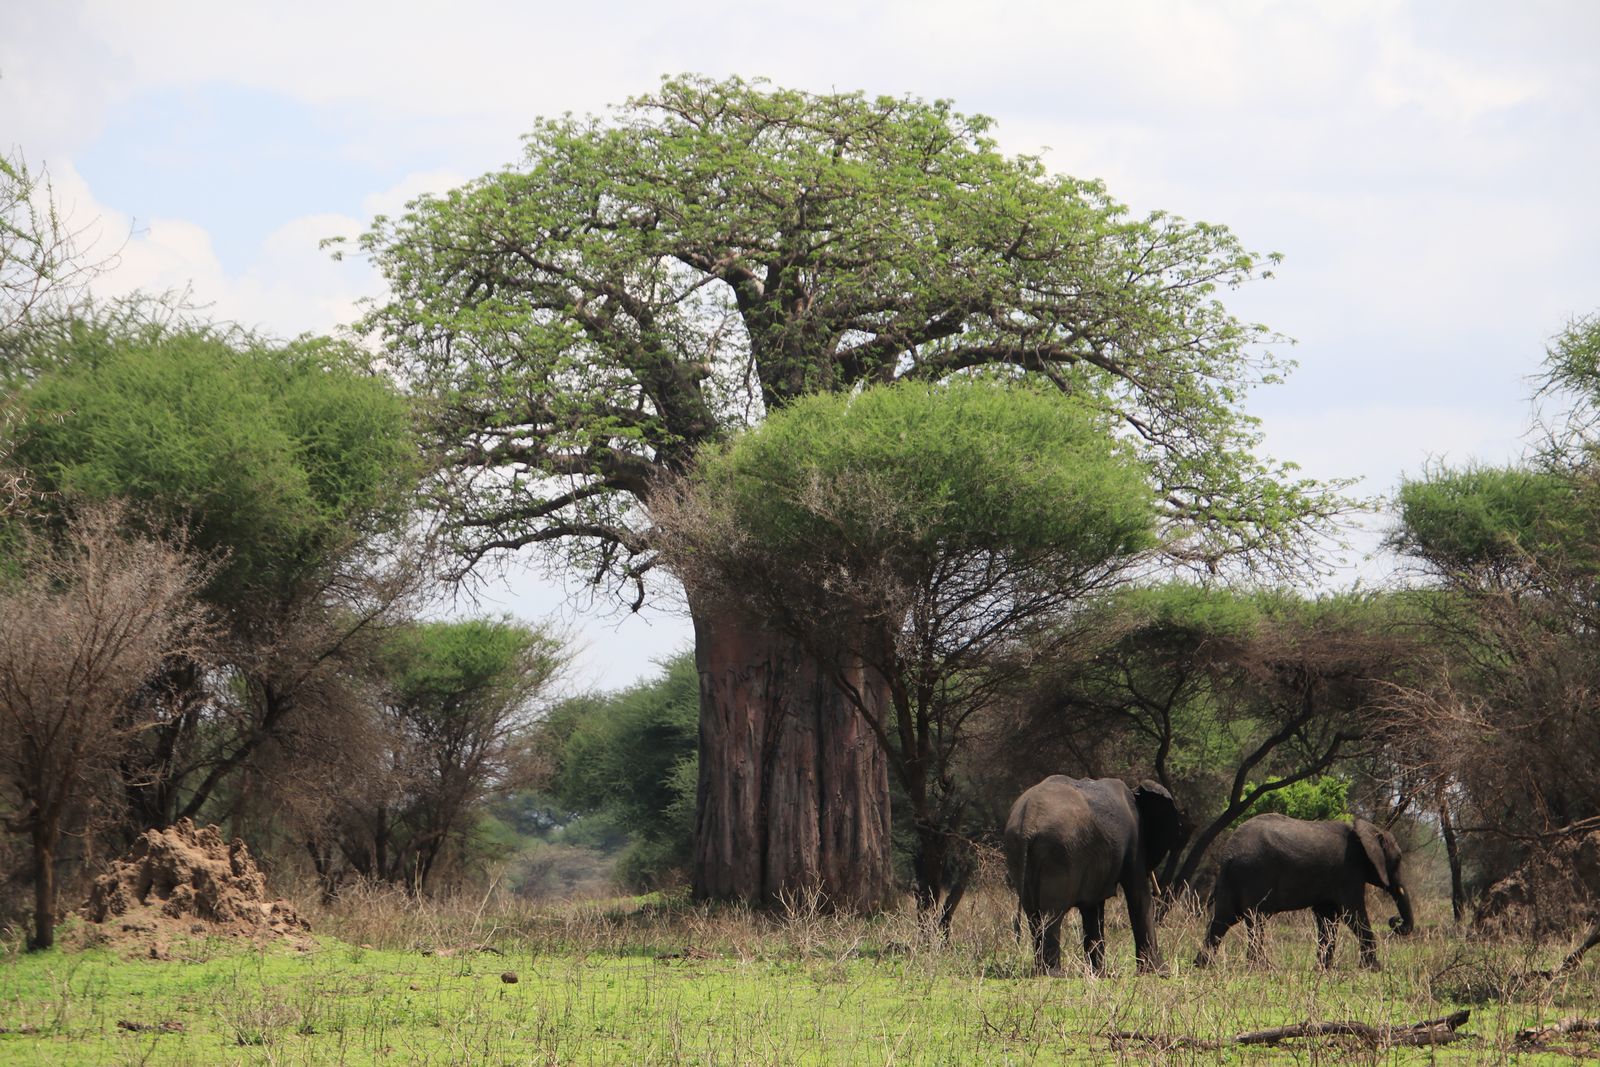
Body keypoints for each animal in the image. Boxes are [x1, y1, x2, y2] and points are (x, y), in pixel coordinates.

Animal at [1004, 777, 1184, 979]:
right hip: (1058, 853)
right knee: (1052, 913)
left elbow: (1092, 908)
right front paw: (1160, 973)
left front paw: (1099, 975)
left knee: (1033, 915)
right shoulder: (1134, 842)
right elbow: (1138, 895)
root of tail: (1028, 822)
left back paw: (1042, 970)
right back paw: (1055, 973)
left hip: (1018, 851)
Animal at [1203, 812, 1414, 972]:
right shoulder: (1349, 871)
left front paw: (1323, 969)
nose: (1395, 921)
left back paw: (1204, 964)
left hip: (1234, 878)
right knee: (1256, 920)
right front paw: (1374, 968)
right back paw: (1263, 968)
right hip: (1254, 874)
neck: (1368, 831)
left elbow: (1328, 918)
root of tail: (1229, 853)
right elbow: (1352, 914)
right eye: (1398, 859)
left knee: (1223, 920)